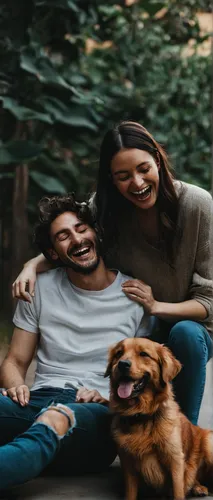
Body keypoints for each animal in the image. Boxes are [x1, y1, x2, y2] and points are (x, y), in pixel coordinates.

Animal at [105, 338, 213, 498]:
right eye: (119, 353)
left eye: (144, 354)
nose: (122, 364)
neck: (141, 415)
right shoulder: (128, 461)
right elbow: (131, 493)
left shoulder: (175, 459)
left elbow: (178, 491)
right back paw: (198, 487)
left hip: (209, 442)